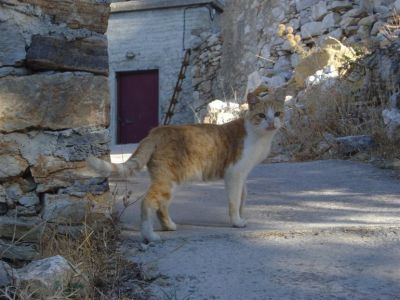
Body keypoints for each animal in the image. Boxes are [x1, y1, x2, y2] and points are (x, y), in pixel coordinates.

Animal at [86, 92, 284, 243]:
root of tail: (156, 131)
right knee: (148, 203)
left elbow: (243, 197)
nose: (272, 123)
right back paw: (150, 236)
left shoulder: (243, 175)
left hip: (170, 181)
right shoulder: (234, 174)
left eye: (278, 114)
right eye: (262, 115)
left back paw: (169, 226)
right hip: (168, 180)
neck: (259, 137)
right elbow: (234, 202)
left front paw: (241, 218)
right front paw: (236, 222)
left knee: (162, 205)